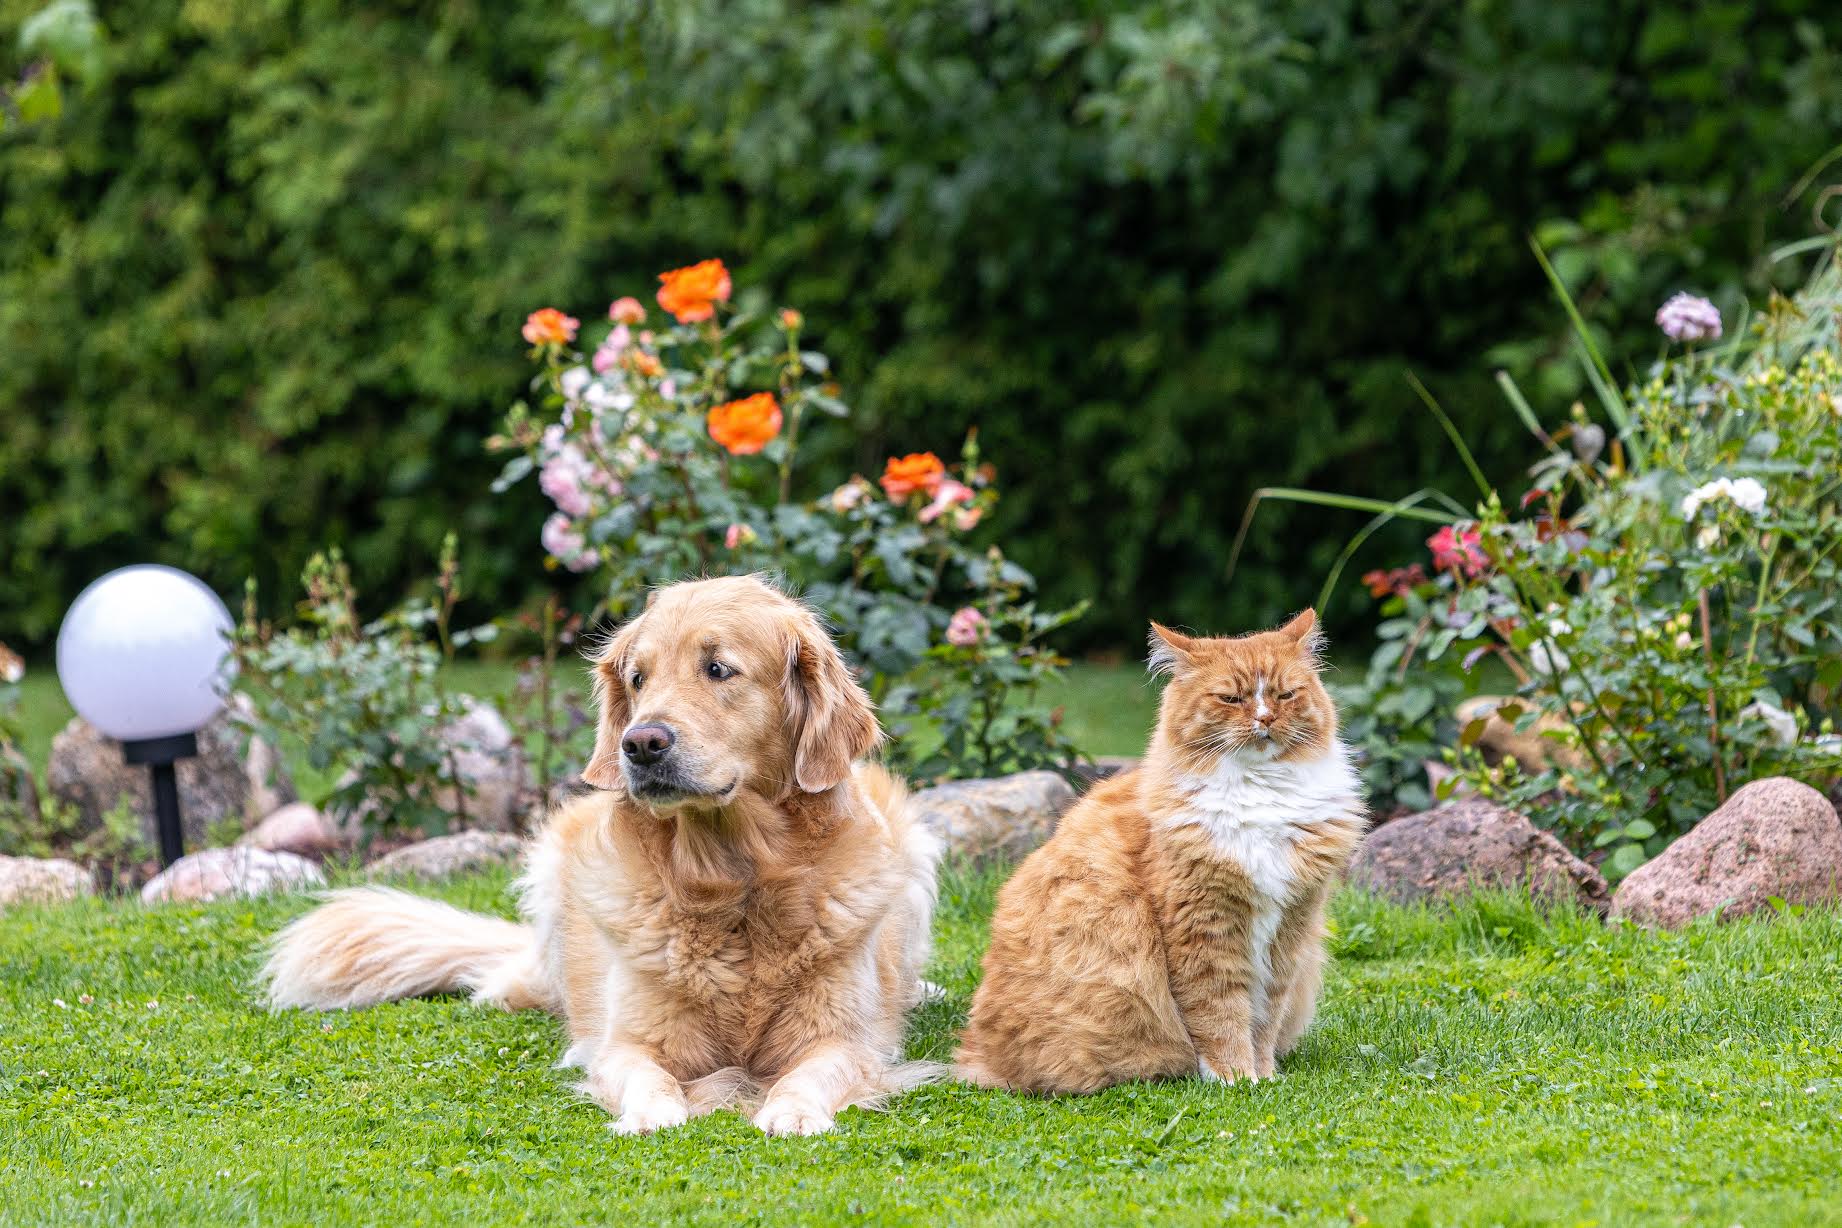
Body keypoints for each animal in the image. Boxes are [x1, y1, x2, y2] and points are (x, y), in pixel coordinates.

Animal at [263, 574, 935, 1134]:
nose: (640, 743)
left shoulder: (843, 1039)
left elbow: (816, 1071)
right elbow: (643, 1074)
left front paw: (791, 1111)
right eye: (638, 679)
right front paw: (655, 1113)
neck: (734, 884)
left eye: (718, 669)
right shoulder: (628, 1041)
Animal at [950, 611, 1370, 1097]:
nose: (1266, 718)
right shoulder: (1204, 929)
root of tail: (975, 1055)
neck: (1263, 796)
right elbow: (1221, 1018)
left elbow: (1264, 1019)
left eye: (1286, 694)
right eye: (1231, 698)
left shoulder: (1291, 927)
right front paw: (1236, 1079)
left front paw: (1263, 1074)